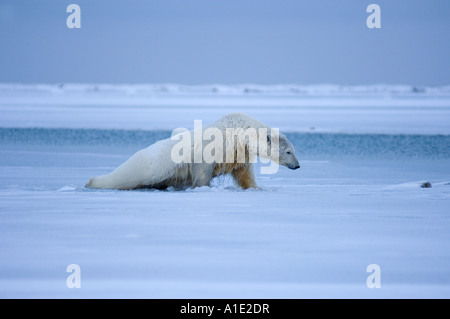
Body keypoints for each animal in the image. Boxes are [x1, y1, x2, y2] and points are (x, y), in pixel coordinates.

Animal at [86, 113, 300, 190]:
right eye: (289, 152)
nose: (298, 166)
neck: (238, 132)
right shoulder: (214, 145)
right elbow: (202, 167)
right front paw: (202, 188)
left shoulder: (239, 152)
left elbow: (244, 174)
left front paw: (257, 188)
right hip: (148, 165)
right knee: (124, 176)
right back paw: (93, 181)